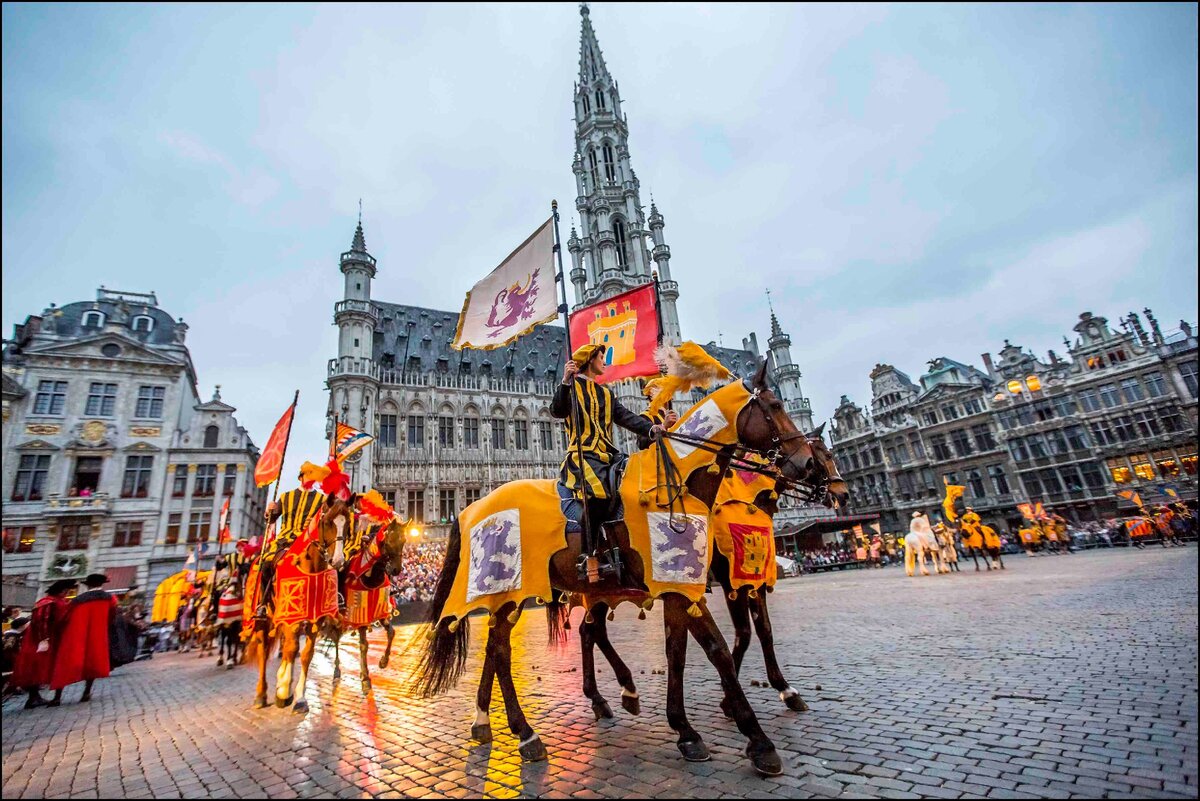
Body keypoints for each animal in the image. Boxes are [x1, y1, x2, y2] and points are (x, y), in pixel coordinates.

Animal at [246, 494, 350, 714]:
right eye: (327, 522)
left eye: (347, 524)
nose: (338, 561)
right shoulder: (291, 615)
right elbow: (293, 649)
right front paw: (283, 690)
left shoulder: (315, 620)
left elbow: (305, 654)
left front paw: (297, 696)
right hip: (262, 620)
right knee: (264, 651)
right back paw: (262, 695)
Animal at [326, 513, 410, 695]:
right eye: (388, 541)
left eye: (404, 541)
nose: (396, 570)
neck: (372, 576)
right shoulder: (360, 615)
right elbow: (364, 645)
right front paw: (365, 679)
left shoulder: (381, 611)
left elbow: (391, 633)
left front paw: (383, 661)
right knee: (335, 639)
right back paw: (336, 671)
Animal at [417, 362, 820, 777]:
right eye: (774, 406)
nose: (808, 466)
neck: (676, 486)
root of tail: (469, 509)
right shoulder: (696, 584)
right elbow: (718, 648)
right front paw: (758, 741)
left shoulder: (684, 585)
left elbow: (681, 650)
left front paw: (687, 730)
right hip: (511, 589)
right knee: (502, 649)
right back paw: (528, 735)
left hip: (521, 593)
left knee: (513, 645)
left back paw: (490, 720)